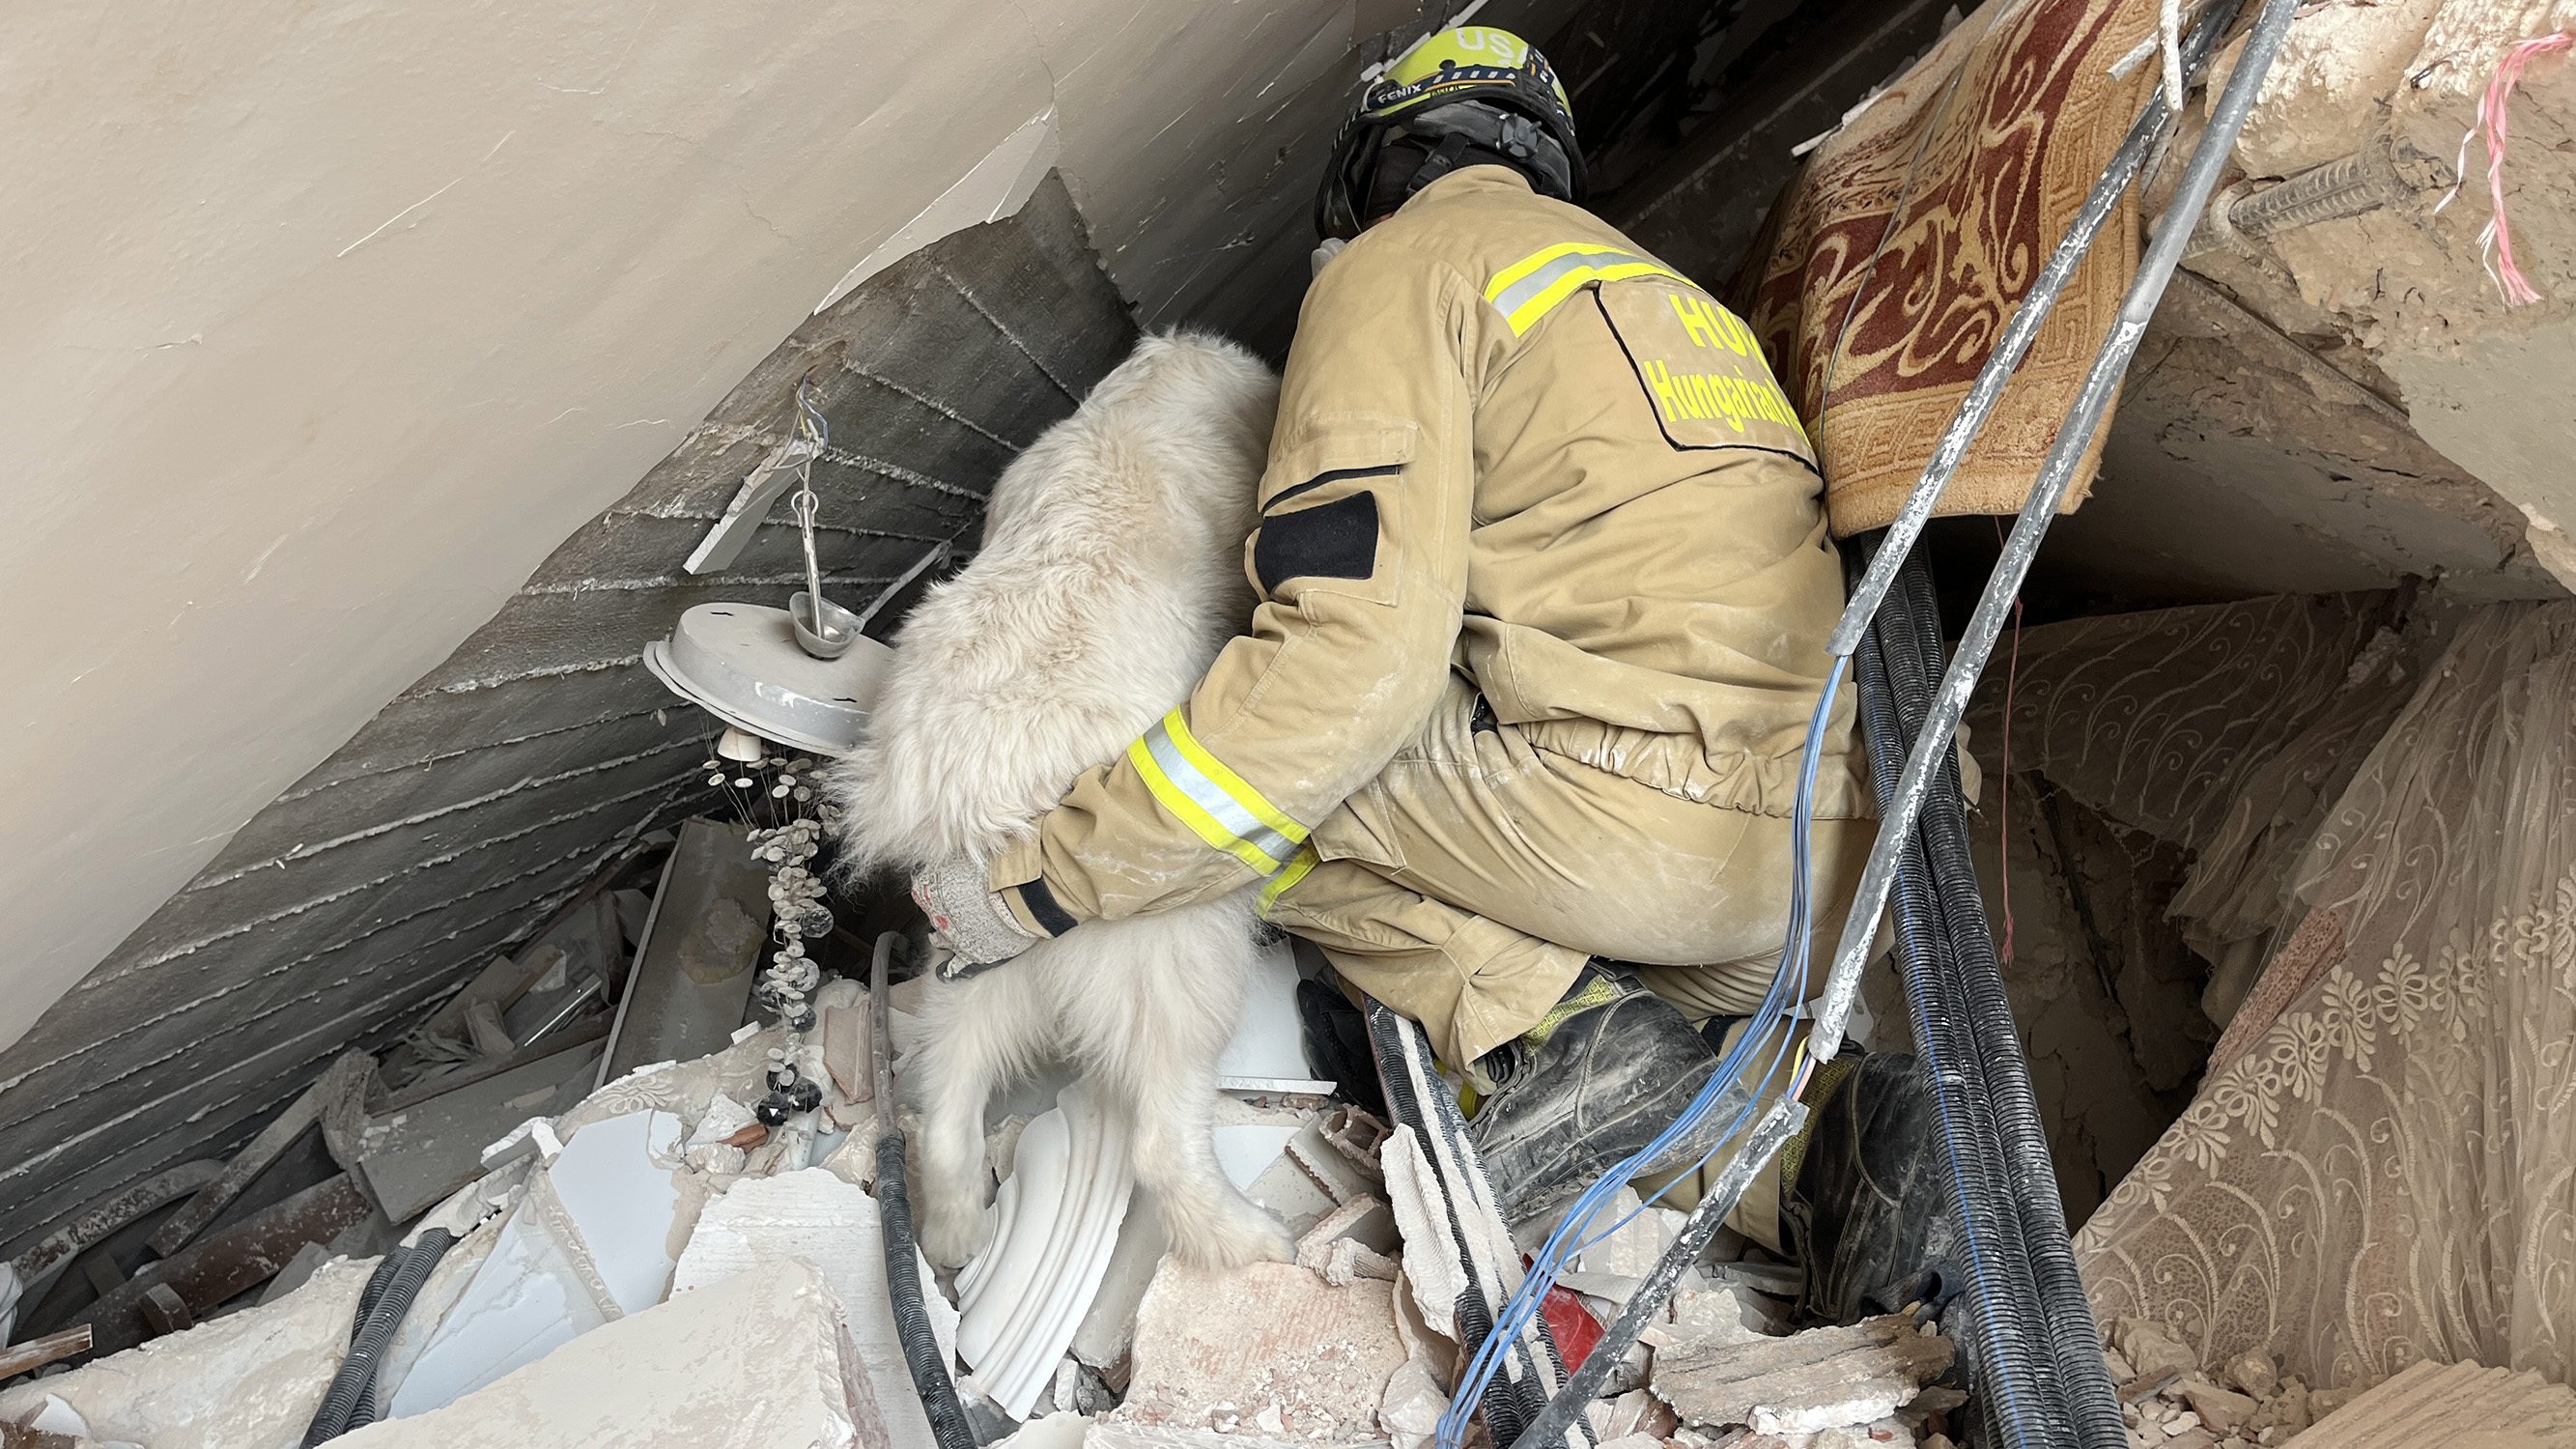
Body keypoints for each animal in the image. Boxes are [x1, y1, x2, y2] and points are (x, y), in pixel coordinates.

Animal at [835, 329, 1298, 1263]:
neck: (1145, 399)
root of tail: (974, 789)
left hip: (969, 964)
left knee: (946, 1109)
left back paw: (955, 1234)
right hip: (1176, 945)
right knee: (1160, 1136)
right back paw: (1250, 1237)